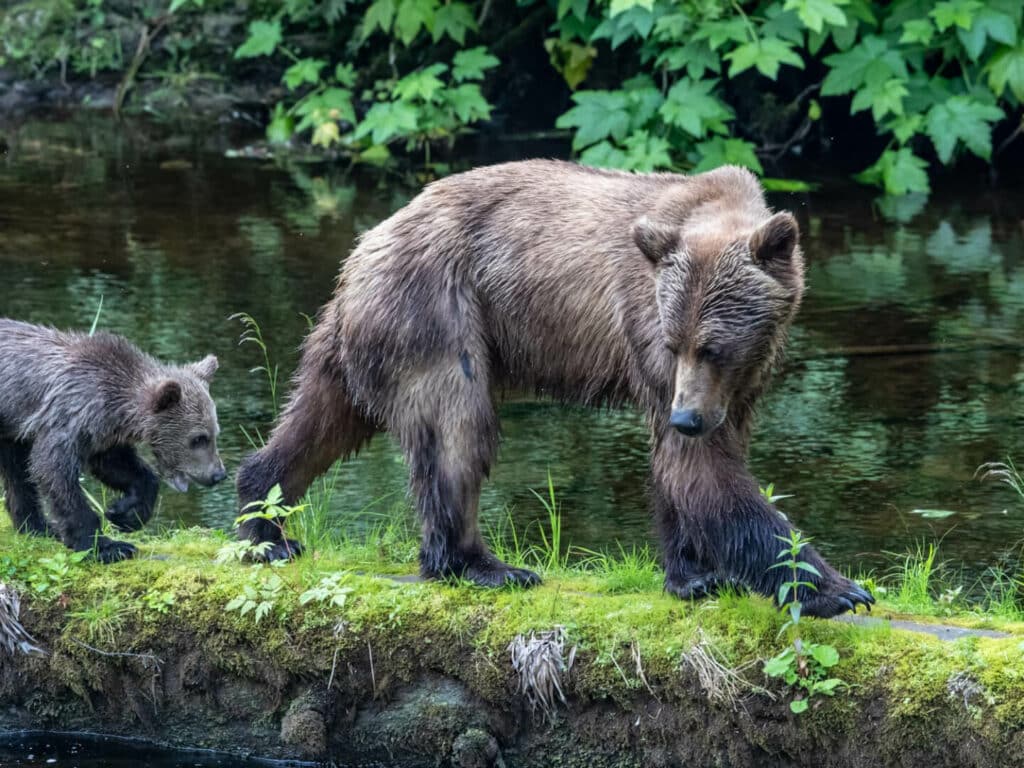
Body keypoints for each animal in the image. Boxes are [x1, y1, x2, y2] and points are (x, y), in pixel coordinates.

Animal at [0, 319, 227, 562]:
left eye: (215, 434)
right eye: (198, 439)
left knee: (16, 472)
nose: (218, 475)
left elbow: (121, 466)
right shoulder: (68, 416)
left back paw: (38, 527)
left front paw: (125, 514)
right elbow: (54, 470)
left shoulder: (98, 434)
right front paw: (106, 546)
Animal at [236, 160, 874, 619]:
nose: (687, 418)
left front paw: (694, 573)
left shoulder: (733, 379)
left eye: (711, 346)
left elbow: (691, 466)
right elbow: (703, 471)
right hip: (441, 310)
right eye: (678, 344)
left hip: (359, 337)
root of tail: (364, 247)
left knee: (322, 418)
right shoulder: (644, 323)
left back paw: (265, 523)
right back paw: (484, 565)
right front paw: (837, 589)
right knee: (458, 432)